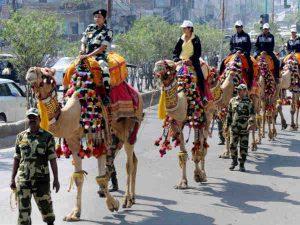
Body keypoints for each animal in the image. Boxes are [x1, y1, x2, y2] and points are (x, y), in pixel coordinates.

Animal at [25, 55, 143, 221]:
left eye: (46, 75)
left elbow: (101, 176)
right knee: (134, 159)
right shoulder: (73, 140)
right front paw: (75, 213)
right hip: (117, 132)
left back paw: (127, 200)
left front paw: (113, 204)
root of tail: (136, 92)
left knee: (129, 163)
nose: (30, 71)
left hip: (131, 123)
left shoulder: (99, 135)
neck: (76, 111)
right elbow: (78, 177)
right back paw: (132, 198)